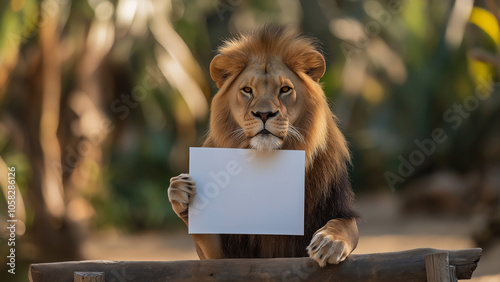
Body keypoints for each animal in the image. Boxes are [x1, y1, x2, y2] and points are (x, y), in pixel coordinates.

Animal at [169, 25, 360, 266]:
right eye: (247, 90)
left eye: (285, 89)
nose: (264, 114)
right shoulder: (225, 254)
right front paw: (181, 191)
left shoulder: (338, 206)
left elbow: (345, 225)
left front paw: (329, 242)